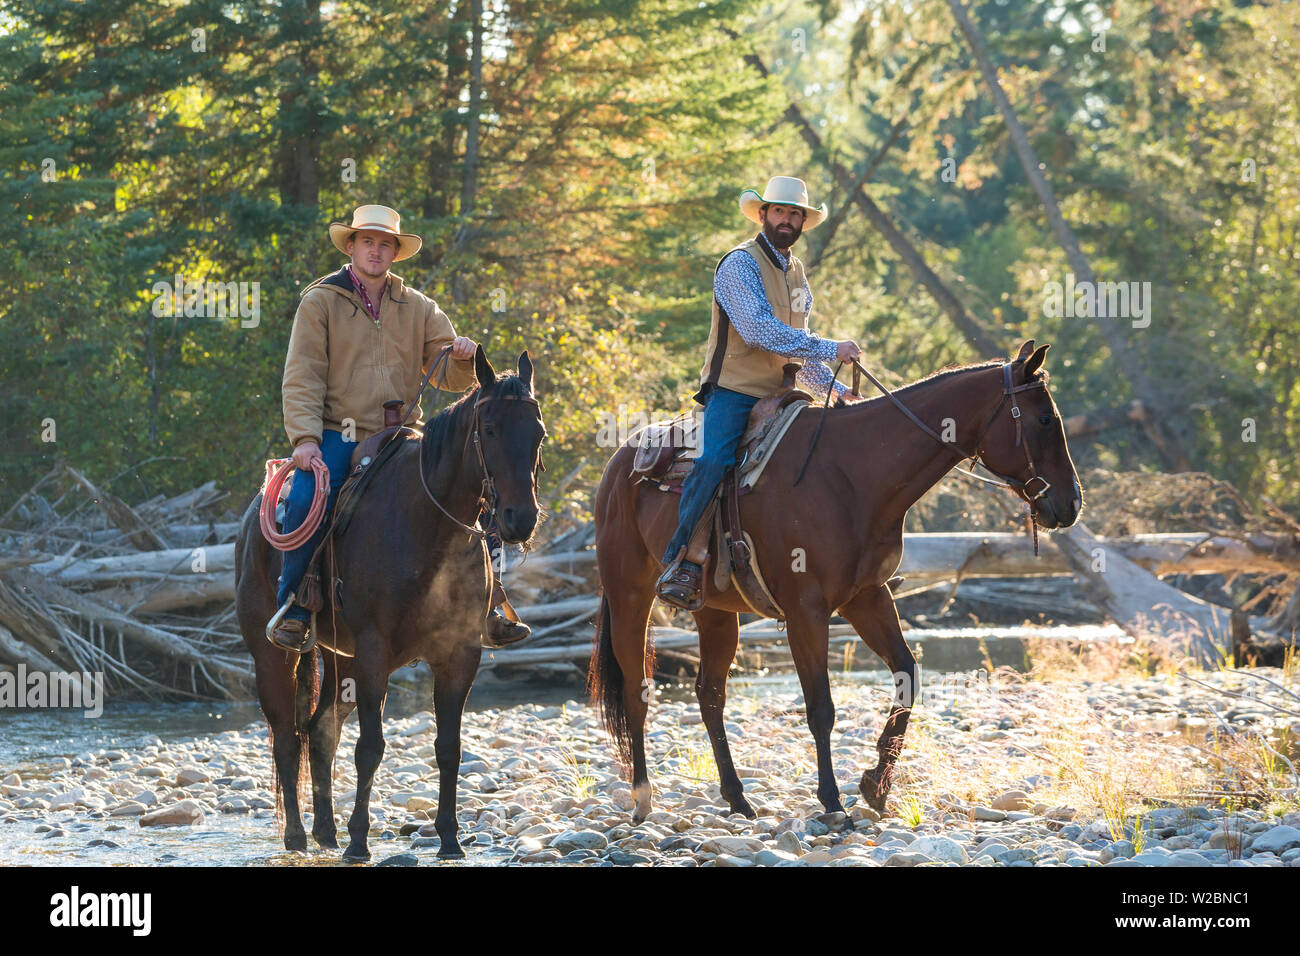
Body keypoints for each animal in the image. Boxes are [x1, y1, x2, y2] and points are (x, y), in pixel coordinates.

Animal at [236, 348, 546, 858]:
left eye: (537, 432)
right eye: (490, 428)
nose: (520, 519)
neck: (425, 527)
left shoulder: (460, 654)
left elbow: (448, 747)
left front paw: (449, 839)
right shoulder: (374, 652)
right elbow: (371, 748)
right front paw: (360, 842)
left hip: (336, 657)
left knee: (320, 732)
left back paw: (326, 831)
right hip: (273, 655)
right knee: (286, 738)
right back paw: (298, 836)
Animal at [590, 343, 1076, 822]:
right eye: (1045, 420)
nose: (1072, 504)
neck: (851, 477)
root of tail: (617, 462)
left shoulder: (867, 597)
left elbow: (907, 675)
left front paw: (876, 783)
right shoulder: (807, 609)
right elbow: (820, 707)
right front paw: (832, 800)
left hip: (714, 611)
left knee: (710, 694)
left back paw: (738, 799)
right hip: (630, 593)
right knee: (636, 690)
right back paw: (642, 796)